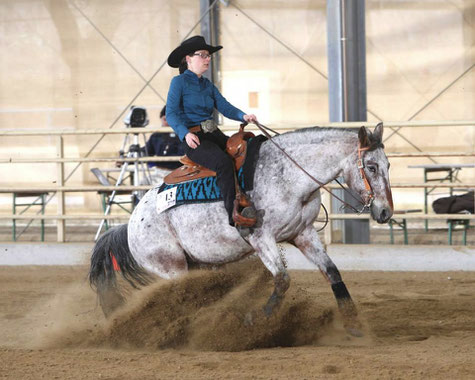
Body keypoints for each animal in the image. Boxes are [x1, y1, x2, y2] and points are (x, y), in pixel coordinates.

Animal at [89, 122, 394, 336]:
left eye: (388, 164)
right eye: (371, 166)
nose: (385, 212)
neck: (287, 175)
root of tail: (130, 224)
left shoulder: (303, 234)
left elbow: (332, 272)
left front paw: (354, 326)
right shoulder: (261, 238)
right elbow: (282, 280)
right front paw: (256, 321)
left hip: (196, 264)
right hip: (170, 267)